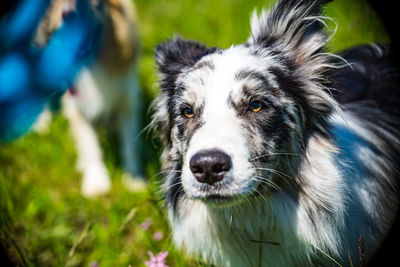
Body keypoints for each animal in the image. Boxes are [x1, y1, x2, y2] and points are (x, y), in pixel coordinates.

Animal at [33, 0, 145, 197]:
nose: (68, 16)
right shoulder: (77, 105)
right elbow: (90, 144)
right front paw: (96, 182)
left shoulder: (127, 99)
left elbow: (130, 145)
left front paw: (134, 180)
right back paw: (40, 121)